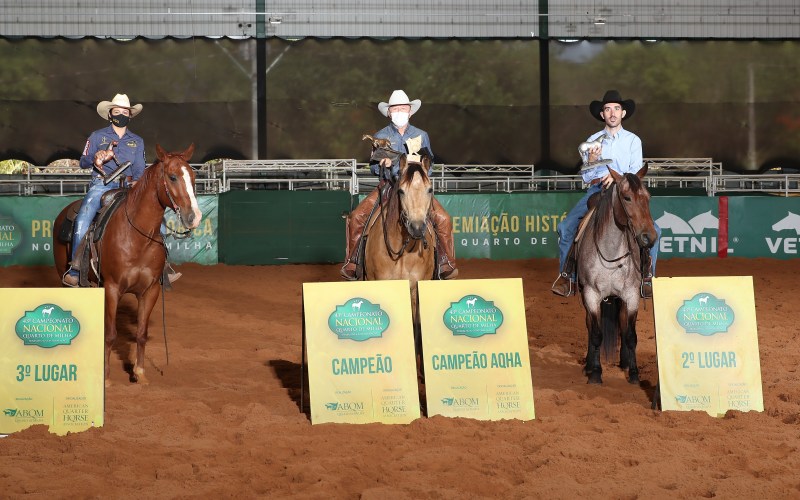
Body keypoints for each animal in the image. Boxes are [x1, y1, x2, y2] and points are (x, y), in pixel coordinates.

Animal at [52, 144, 202, 385]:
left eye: (194, 176)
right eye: (172, 177)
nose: (194, 217)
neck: (136, 236)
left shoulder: (150, 291)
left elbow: (141, 334)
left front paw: (139, 373)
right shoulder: (112, 288)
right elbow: (111, 334)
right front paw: (105, 378)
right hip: (65, 278)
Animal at [575, 165, 657, 385]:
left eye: (648, 196)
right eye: (626, 197)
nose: (649, 237)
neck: (611, 252)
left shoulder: (631, 295)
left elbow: (630, 335)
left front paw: (634, 374)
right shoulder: (591, 294)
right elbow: (596, 333)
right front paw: (595, 373)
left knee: (622, 323)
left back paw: (625, 363)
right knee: (589, 325)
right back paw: (588, 365)